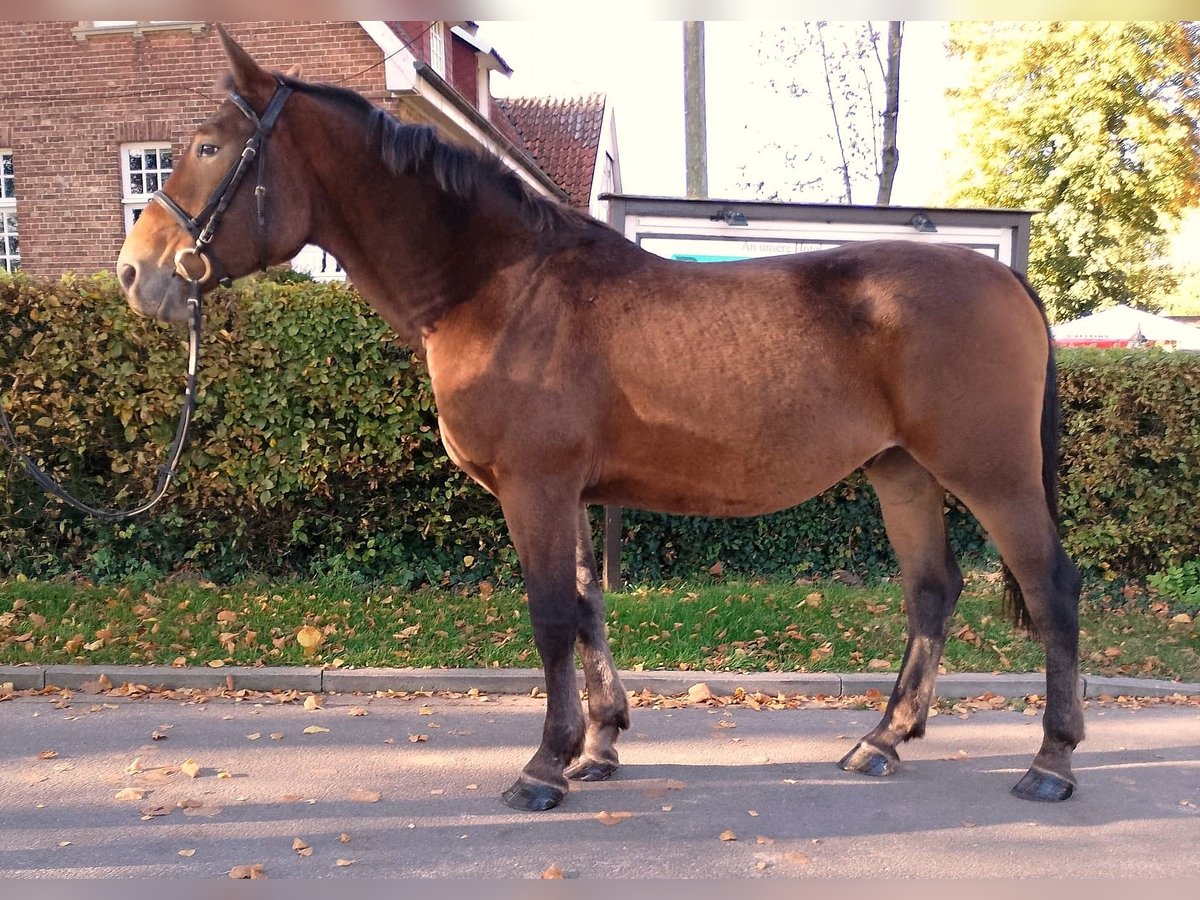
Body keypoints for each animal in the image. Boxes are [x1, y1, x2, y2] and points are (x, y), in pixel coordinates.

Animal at [119, 28, 1089, 816]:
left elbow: (552, 614)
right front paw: (599, 745)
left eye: (208, 146)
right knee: (931, 591)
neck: (500, 287)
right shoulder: (569, 492)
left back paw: (1051, 761)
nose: (138, 274)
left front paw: (543, 768)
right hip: (902, 472)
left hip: (991, 474)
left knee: (1051, 587)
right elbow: (588, 608)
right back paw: (881, 740)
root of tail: (1006, 279)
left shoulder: (534, 487)